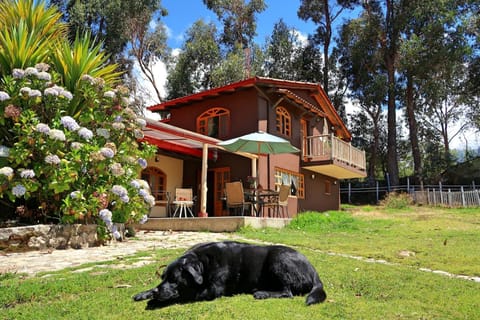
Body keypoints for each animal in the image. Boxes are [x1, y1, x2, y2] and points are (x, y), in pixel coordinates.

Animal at [132, 241, 326, 308]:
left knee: (288, 292)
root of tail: (314, 270)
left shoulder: (213, 291)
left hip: (278, 258)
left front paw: (154, 300)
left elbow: (183, 294)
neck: (204, 263)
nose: (156, 293)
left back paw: (262, 293)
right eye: (163, 277)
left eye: (174, 279)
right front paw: (145, 293)